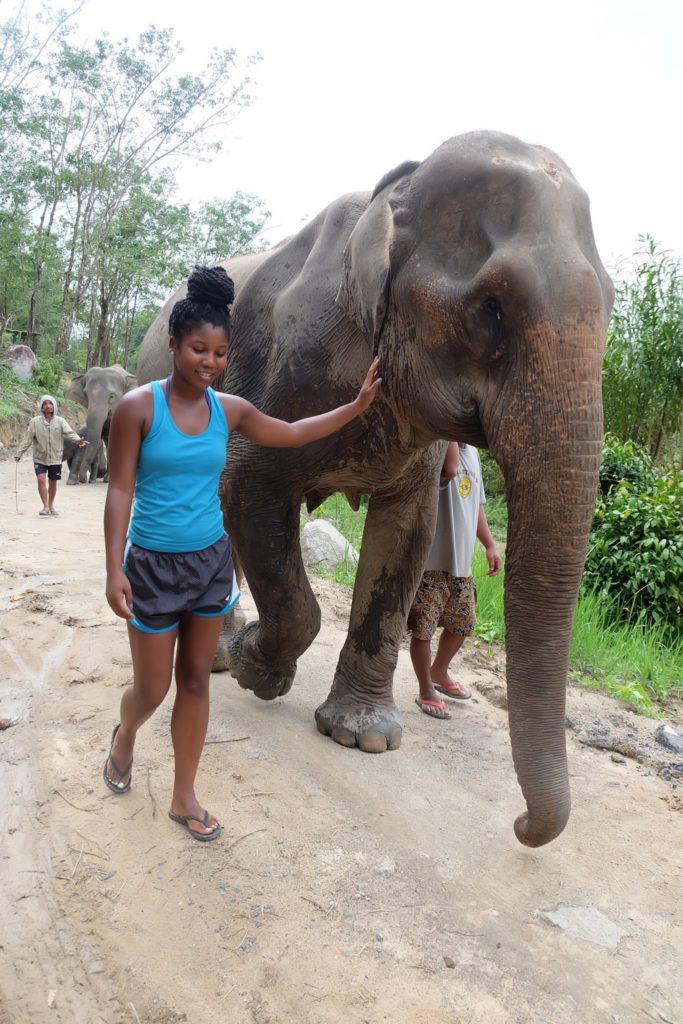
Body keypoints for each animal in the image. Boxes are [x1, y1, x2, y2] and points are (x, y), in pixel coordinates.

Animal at [137, 131, 614, 848]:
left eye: (611, 306)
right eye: (491, 308)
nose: (522, 824)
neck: (389, 197)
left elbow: (408, 532)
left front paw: (362, 738)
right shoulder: (287, 371)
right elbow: (248, 489)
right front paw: (258, 671)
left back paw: (217, 653)